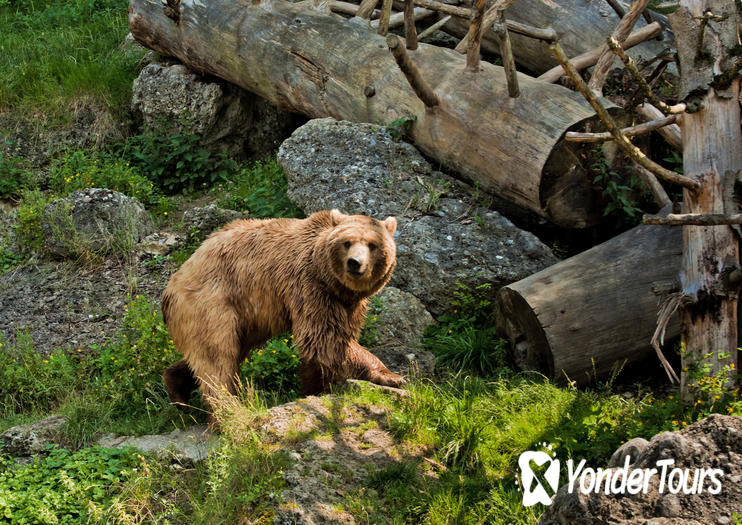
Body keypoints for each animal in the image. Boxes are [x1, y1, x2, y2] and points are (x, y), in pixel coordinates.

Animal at [163, 209, 406, 414]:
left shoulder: (347, 303)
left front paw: (312, 389)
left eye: (372, 245)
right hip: (212, 301)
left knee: (217, 353)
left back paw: (177, 390)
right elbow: (323, 337)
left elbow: (324, 348)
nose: (355, 263)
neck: (332, 282)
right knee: (217, 358)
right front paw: (392, 376)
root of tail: (171, 287)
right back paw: (228, 409)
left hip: (241, 318)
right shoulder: (308, 285)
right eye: (347, 242)